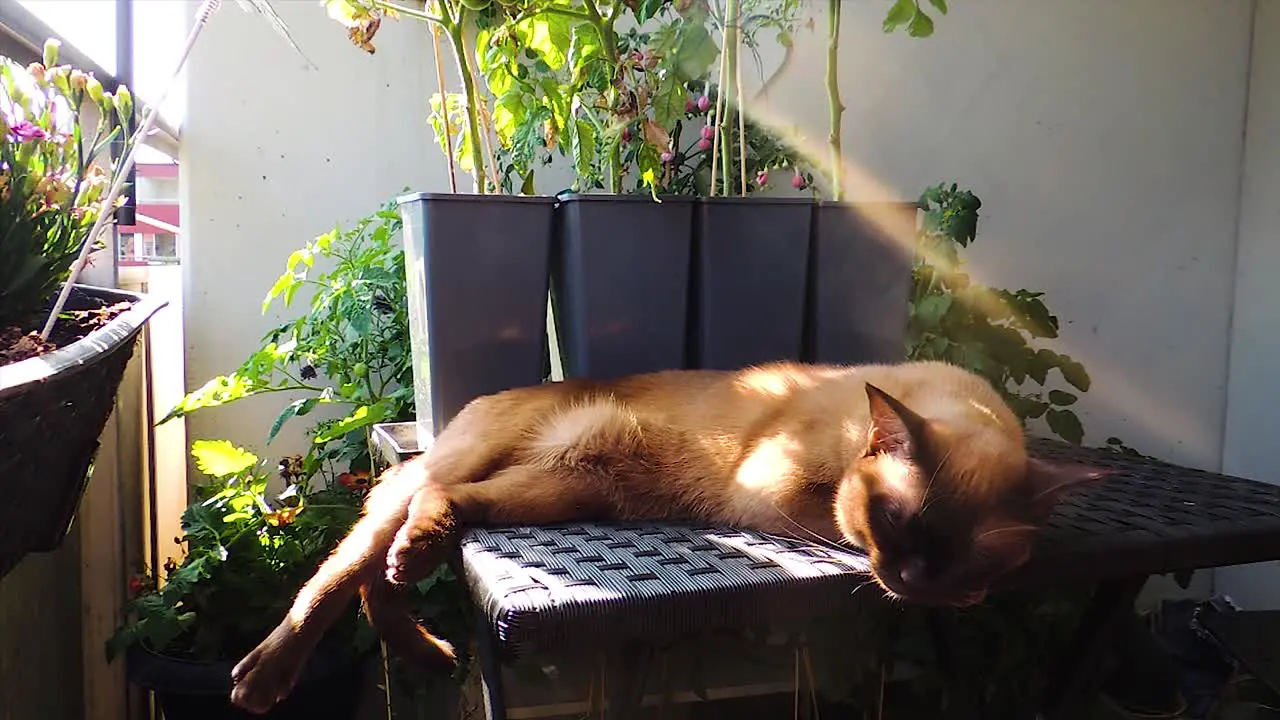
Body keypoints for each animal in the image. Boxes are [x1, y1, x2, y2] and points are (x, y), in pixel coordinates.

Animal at [227, 358, 1100, 712]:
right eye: (897, 520)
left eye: (965, 552)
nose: (917, 581)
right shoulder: (780, 498)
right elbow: (839, 528)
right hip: (505, 473)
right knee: (371, 547)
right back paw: (266, 677)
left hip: (560, 490)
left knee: (409, 535)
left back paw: (422, 632)